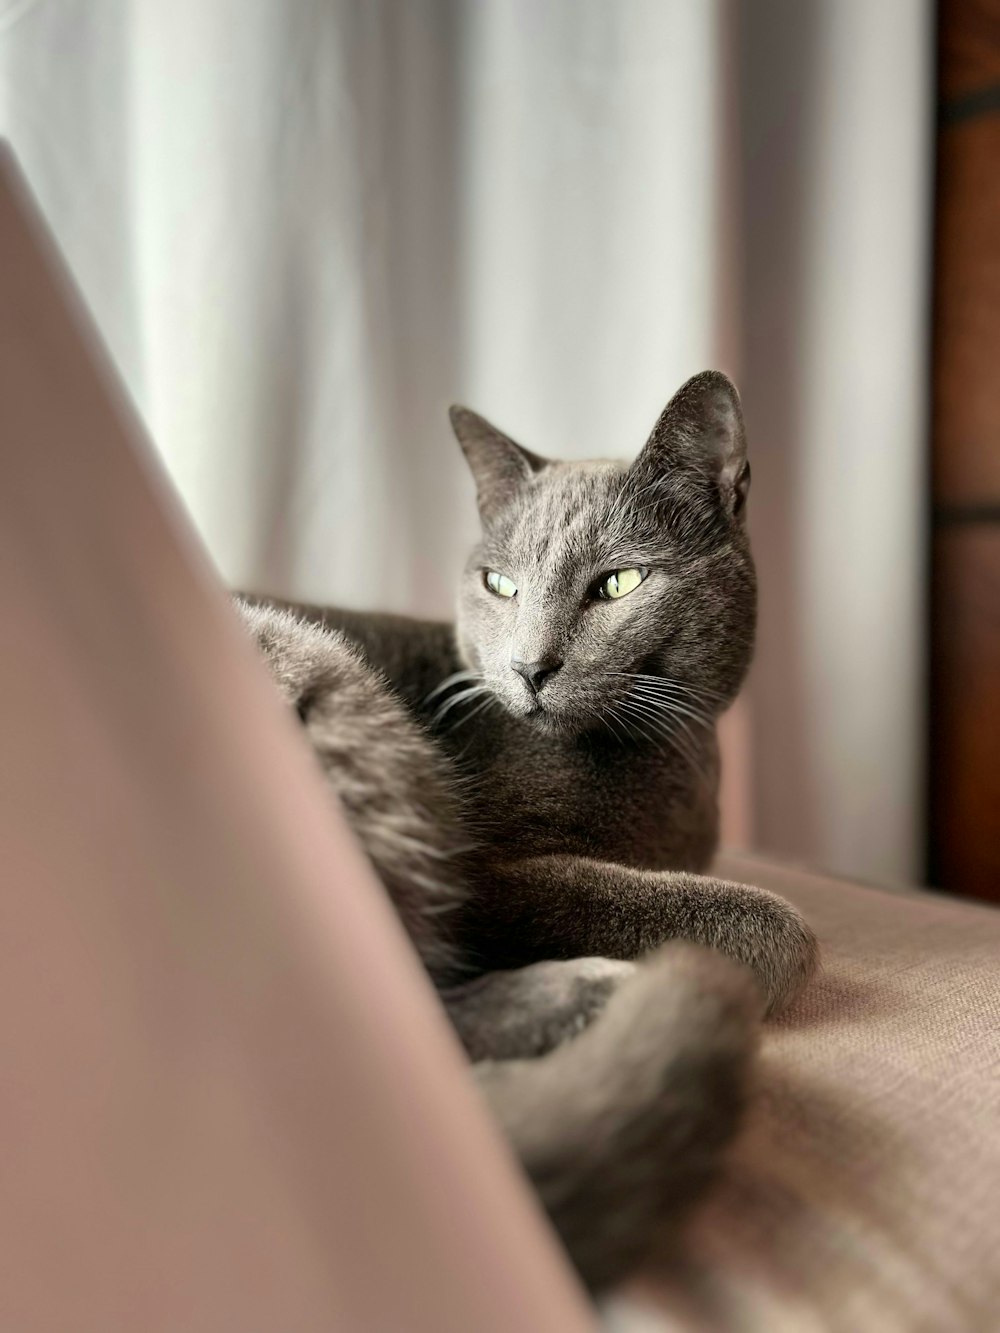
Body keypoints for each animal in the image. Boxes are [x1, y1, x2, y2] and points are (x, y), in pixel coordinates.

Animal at [238, 370, 816, 1285]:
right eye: (499, 585)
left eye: (619, 582)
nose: (530, 667)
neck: (669, 765)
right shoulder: (488, 872)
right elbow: (772, 925)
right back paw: (592, 991)